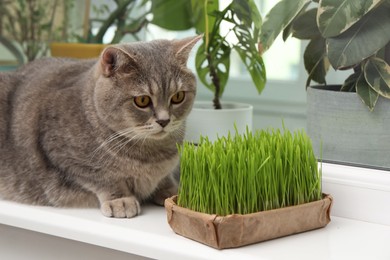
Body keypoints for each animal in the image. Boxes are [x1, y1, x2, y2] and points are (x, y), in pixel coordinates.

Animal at [0, 35, 201, 217]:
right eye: (142, 100)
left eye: (178, 97)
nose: (164, 120)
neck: (152, 155)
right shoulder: (63, 155)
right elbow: (103, 178)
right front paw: (120, 199)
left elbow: (165, 178)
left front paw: (172, 190)